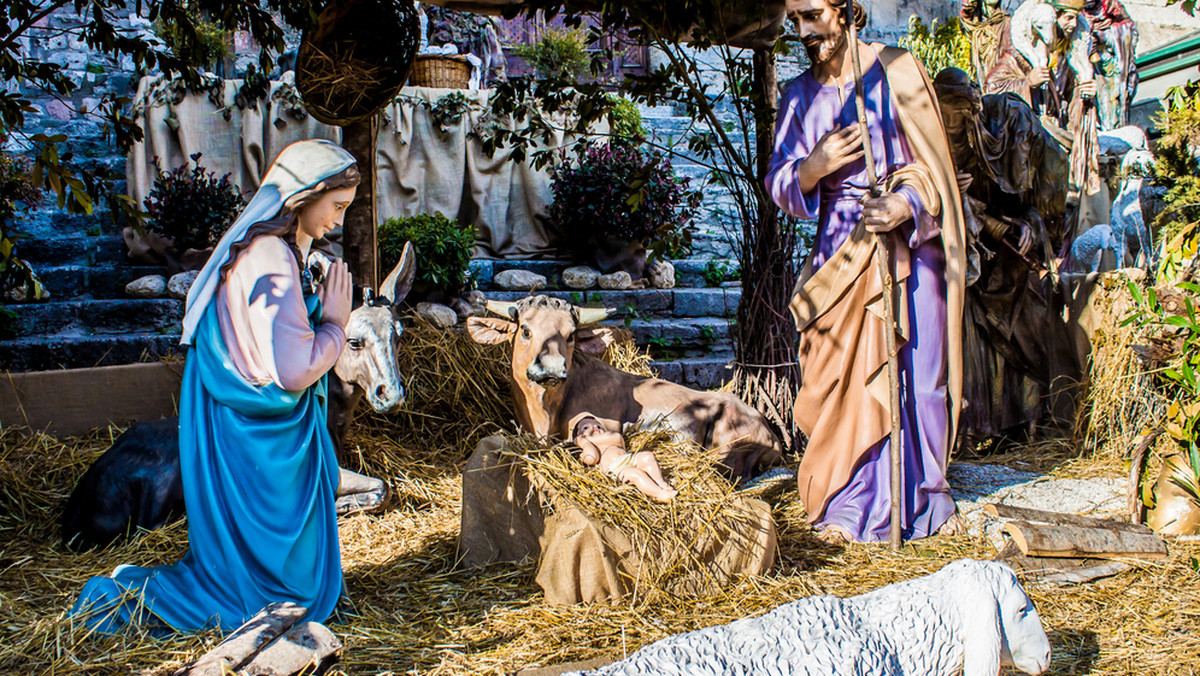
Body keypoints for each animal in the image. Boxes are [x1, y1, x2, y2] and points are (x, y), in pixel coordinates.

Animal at [463, 296, 782, 480]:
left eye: (571, 335)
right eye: (525, 330)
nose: (552, 367)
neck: (543, 412)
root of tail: (769, 429)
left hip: (729, 448)